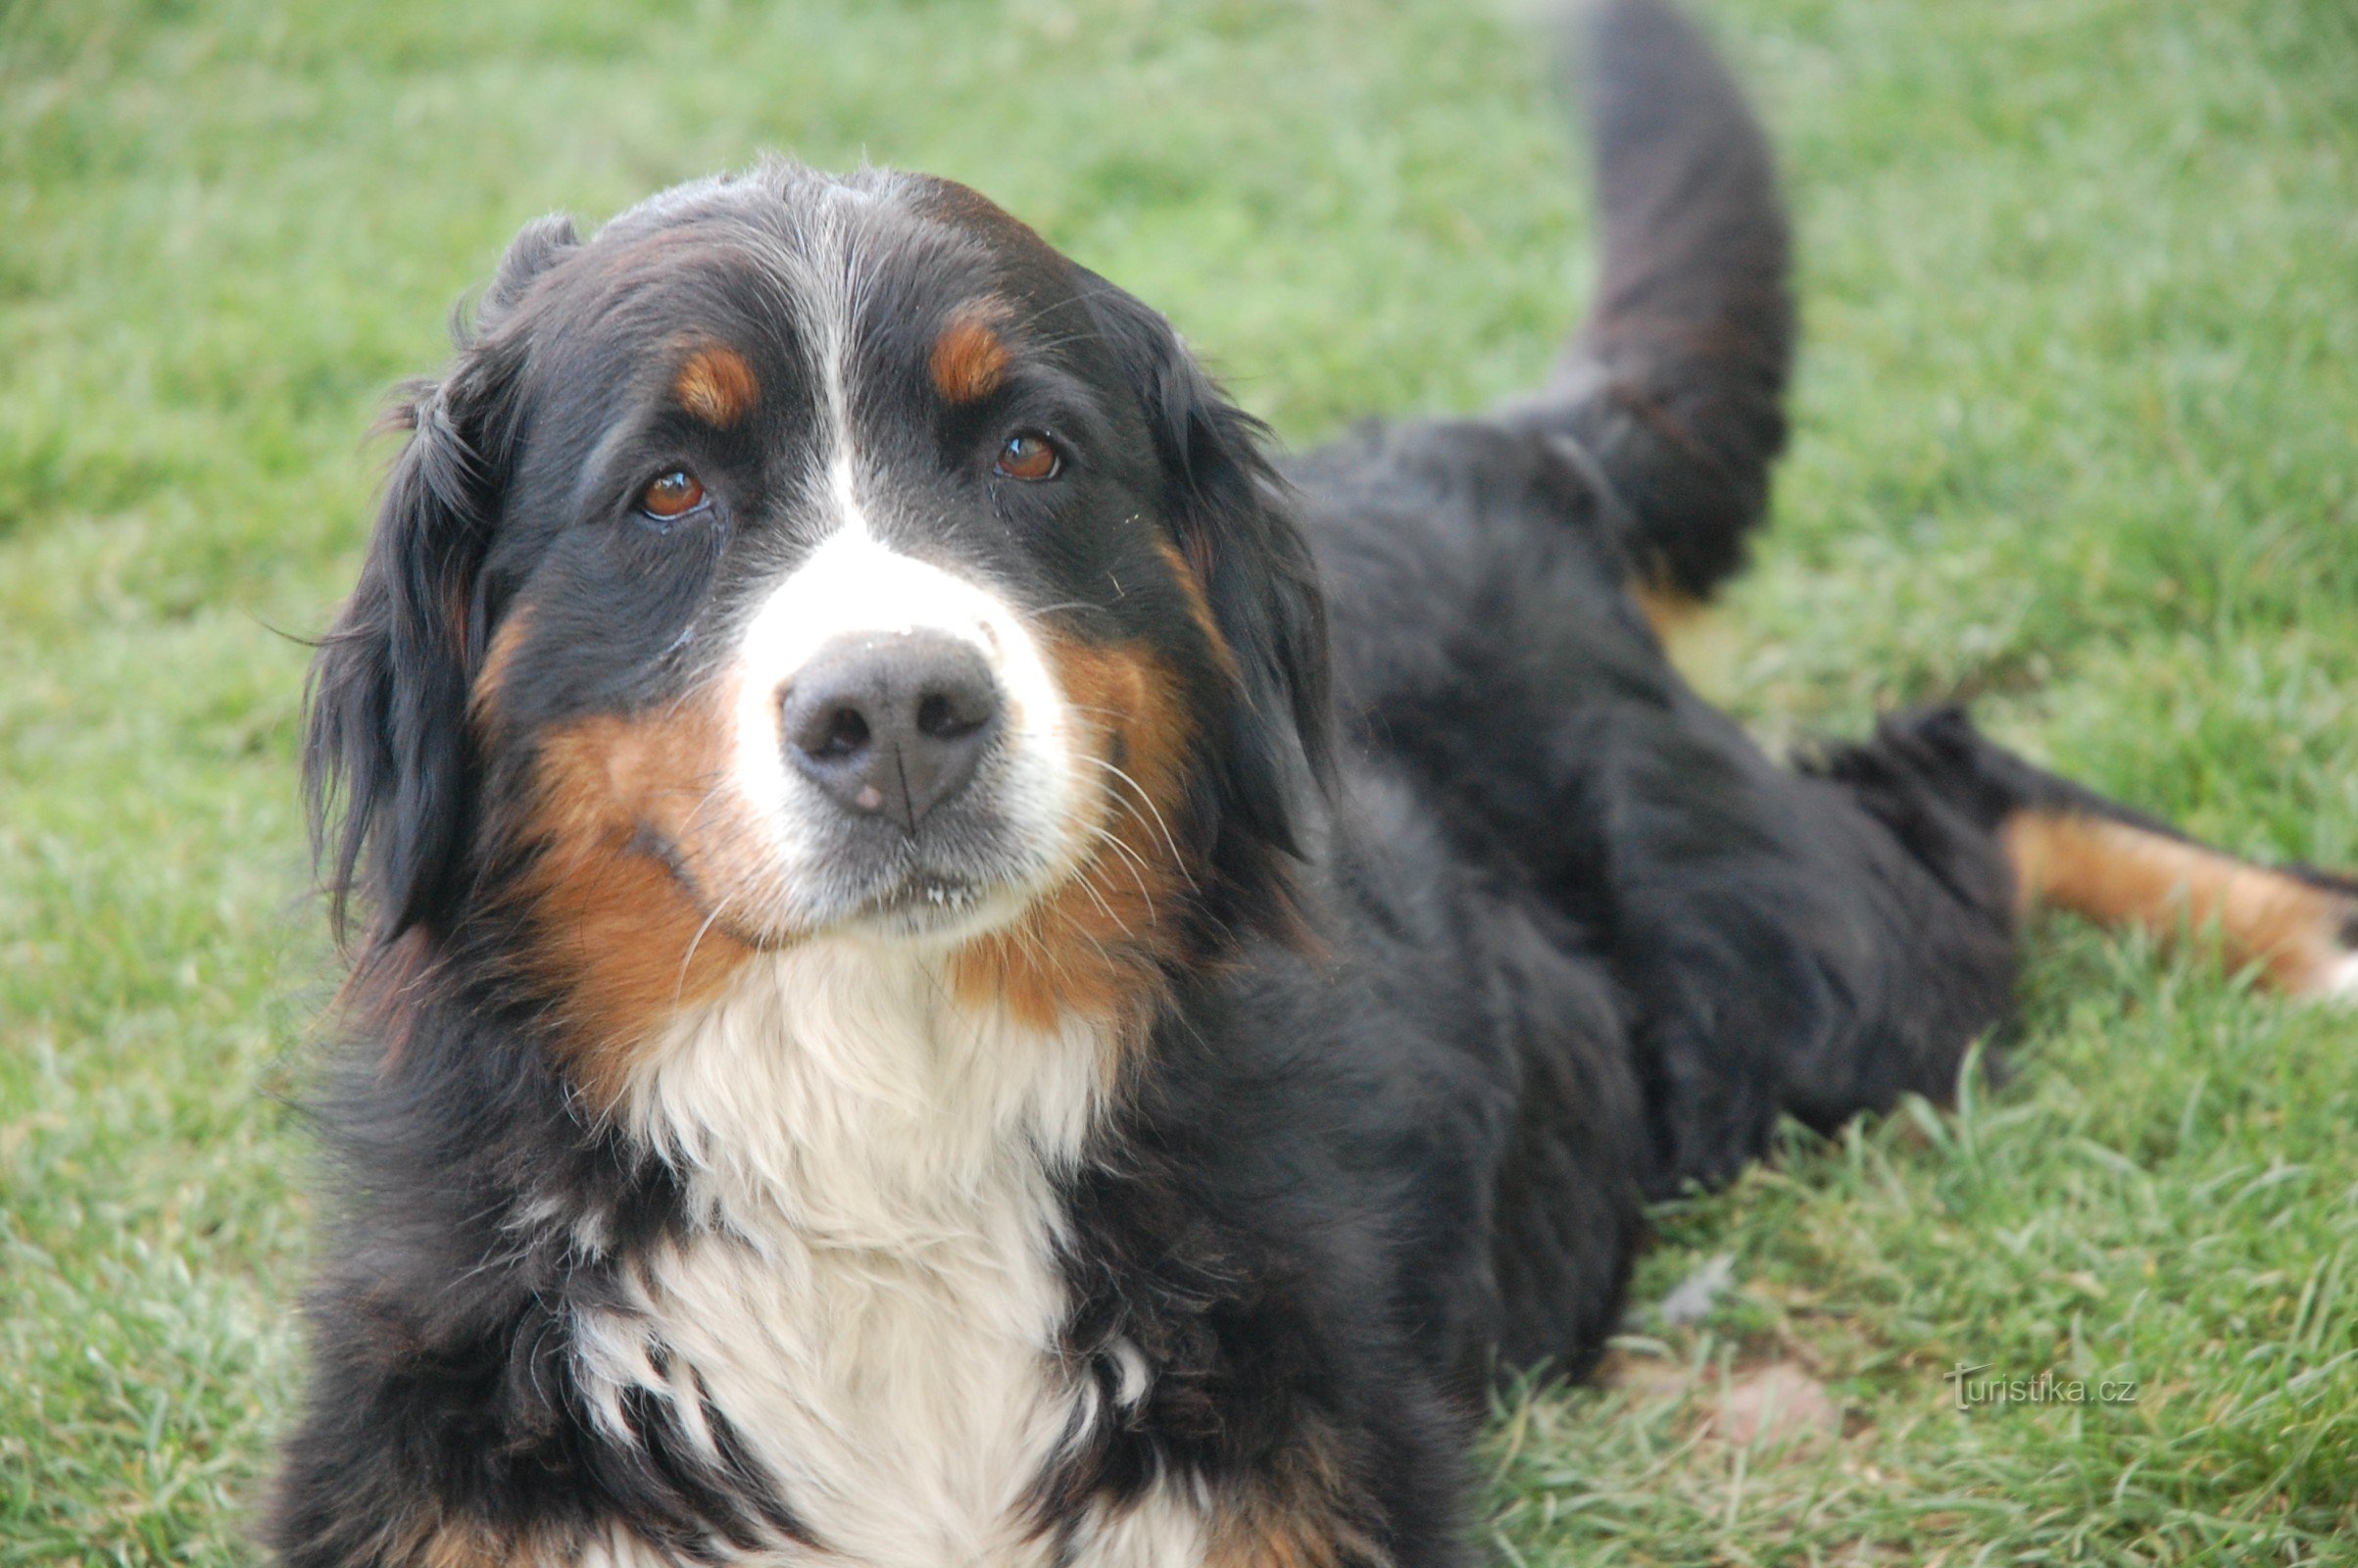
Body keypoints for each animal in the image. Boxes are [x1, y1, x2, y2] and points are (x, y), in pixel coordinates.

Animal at [280, 3, 2358, 1565]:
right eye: (669, 489)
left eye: (1028, 453)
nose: (900, 711)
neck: (883, 1140)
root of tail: (1484, 450)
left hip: (1798, 970)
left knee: (1949, 781)